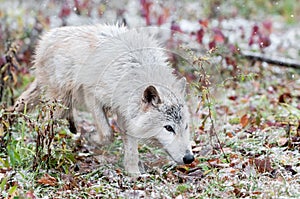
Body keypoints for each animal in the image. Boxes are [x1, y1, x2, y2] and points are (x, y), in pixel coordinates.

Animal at [15, 24, 195, 175]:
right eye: (168, 128)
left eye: (186, 126)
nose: (189, 158)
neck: (135, 70)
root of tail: (46, 38)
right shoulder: (92, 95)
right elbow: (108, 133)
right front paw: (93, 139)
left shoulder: (124, 112)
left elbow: (131, 148)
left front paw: (133, 173)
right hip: (61, 100)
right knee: (43, 124)